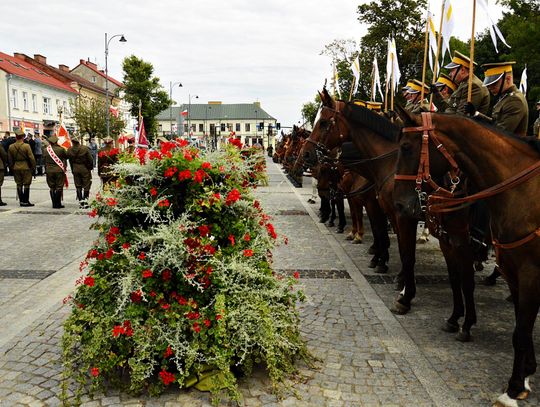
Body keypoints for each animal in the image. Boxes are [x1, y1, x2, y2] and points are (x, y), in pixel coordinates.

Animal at [392, 109, 540, 407]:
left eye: (406, 147)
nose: (400, 204)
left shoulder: (525, 270)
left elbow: (517, 328)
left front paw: (512, 389)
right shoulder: (502, 265)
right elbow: (457, 282)